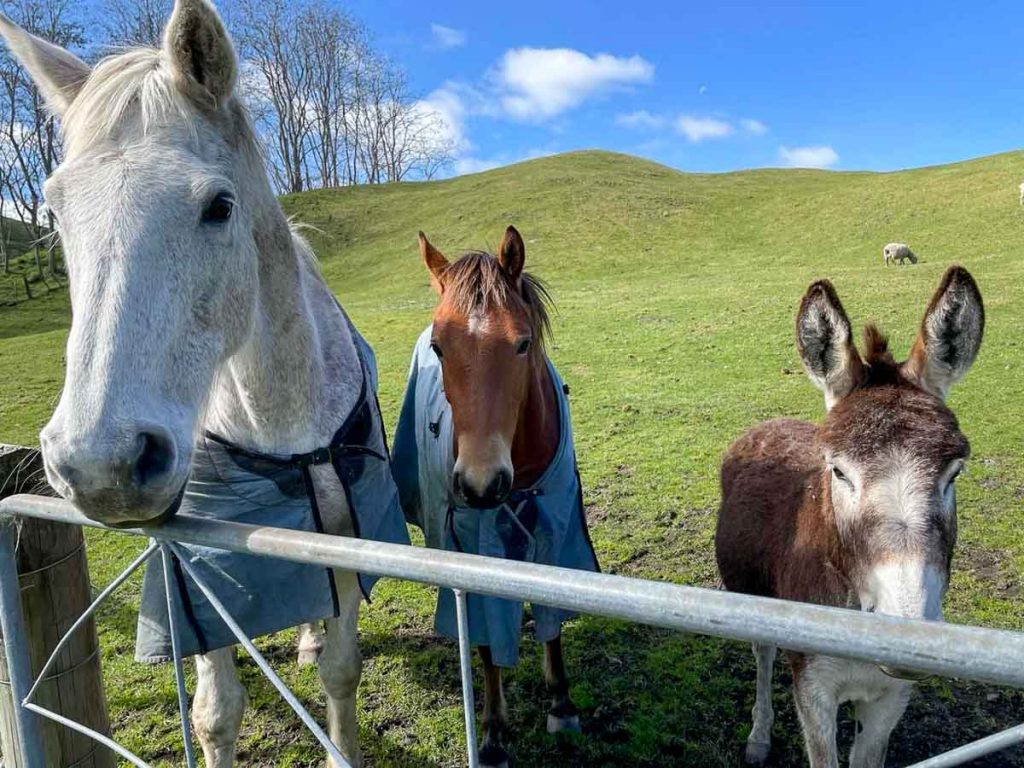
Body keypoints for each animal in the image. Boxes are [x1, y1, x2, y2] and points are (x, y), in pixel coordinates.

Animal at [0, 3, 366, 765]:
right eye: (55, 214)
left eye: (218, 206)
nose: (98, 465)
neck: (280, 427)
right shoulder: (194, 575)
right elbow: (216, 714)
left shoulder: (345, 539)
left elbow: (341, 672)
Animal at [393, 227, 598, 768]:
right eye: (440, 347)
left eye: (522, 343)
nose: (481, 483)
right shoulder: (474, 547)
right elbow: (486, 642)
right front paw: (492, 734)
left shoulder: (555, 531)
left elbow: (552, 619)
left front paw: (561, 703)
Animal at [712, 268, 983, 768]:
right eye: (838, 471)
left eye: (954, 473)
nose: (906, 634)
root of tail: (770, 422)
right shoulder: (813, 689)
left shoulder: (890, 698)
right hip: (753, 599)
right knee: (763, 657)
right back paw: (758, 738)